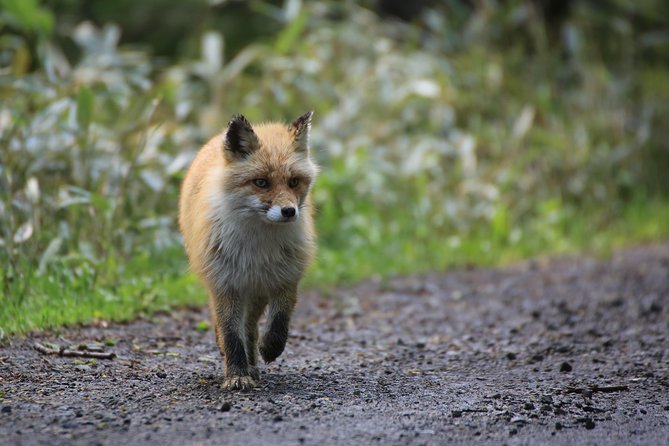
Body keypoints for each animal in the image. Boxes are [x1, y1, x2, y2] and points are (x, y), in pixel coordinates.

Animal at [179, 111, 318, 390]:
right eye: (261, 182)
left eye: (294, 182)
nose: (289, 211)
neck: (257, 248)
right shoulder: (225, 283)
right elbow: (231, 334)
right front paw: (236, 374)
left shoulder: (285, 277)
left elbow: (279, 322)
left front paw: (270, 348)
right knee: (230, 329)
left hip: (255, 292)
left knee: (251, 328)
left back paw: (253, 363)